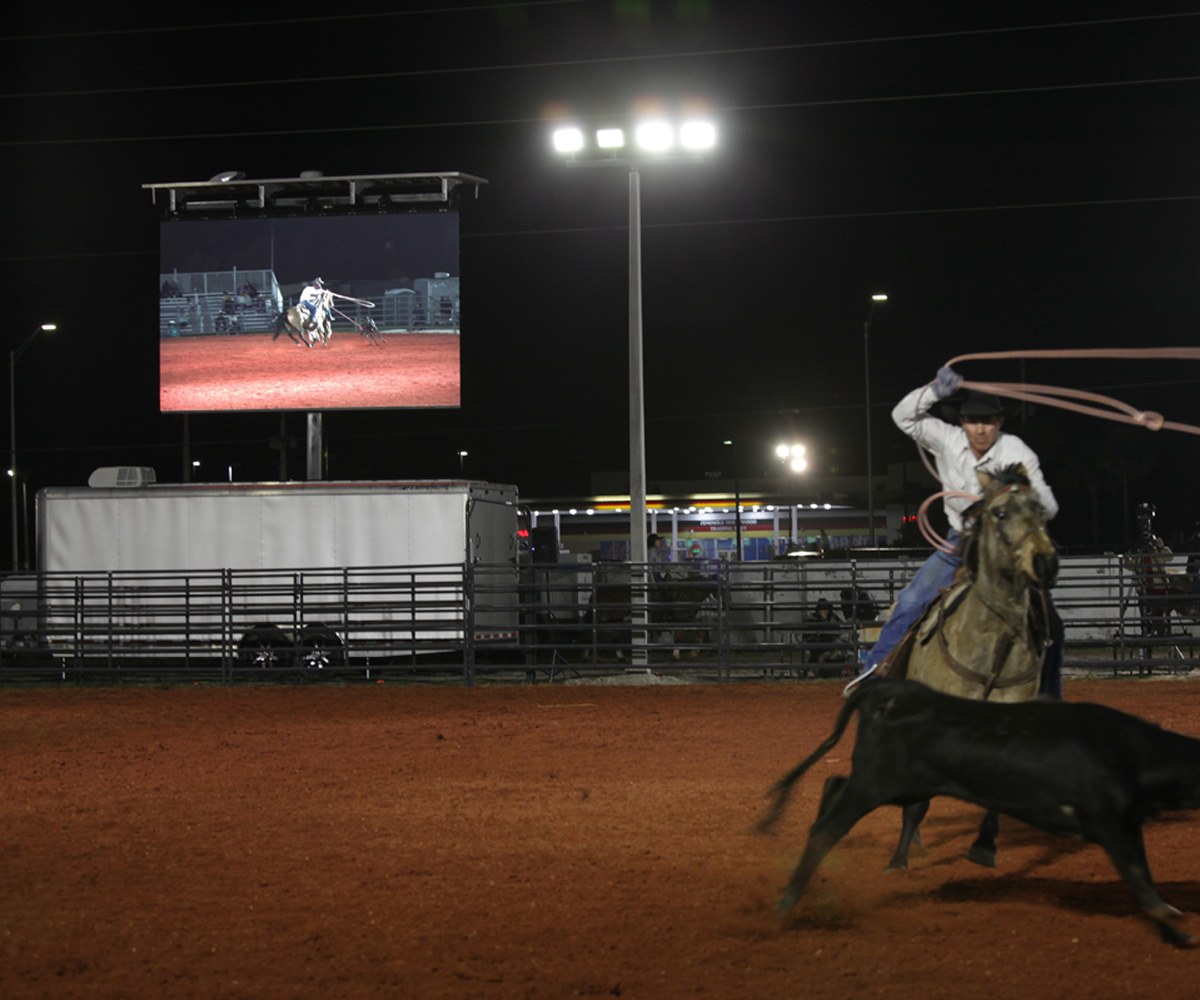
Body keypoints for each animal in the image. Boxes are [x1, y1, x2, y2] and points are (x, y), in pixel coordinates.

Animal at [756, 678, 1200, 946]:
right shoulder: (1109, 825)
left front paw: (1172, 933)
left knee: (833, 786)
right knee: (827, 829)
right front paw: (1178, 926)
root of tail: (891, 689)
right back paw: (784, 906)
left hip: (893, 785)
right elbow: (1140, 882)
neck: (1134, 751)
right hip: (876, 784)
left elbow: (1145, 878)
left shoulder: (1129, 826)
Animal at [873, 463, 1059, 871]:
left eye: (1040, 511)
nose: (1045, 562)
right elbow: (917, 801)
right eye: (1000, 513)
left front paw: (984, 846)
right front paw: (898, 861)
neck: (993, 644)